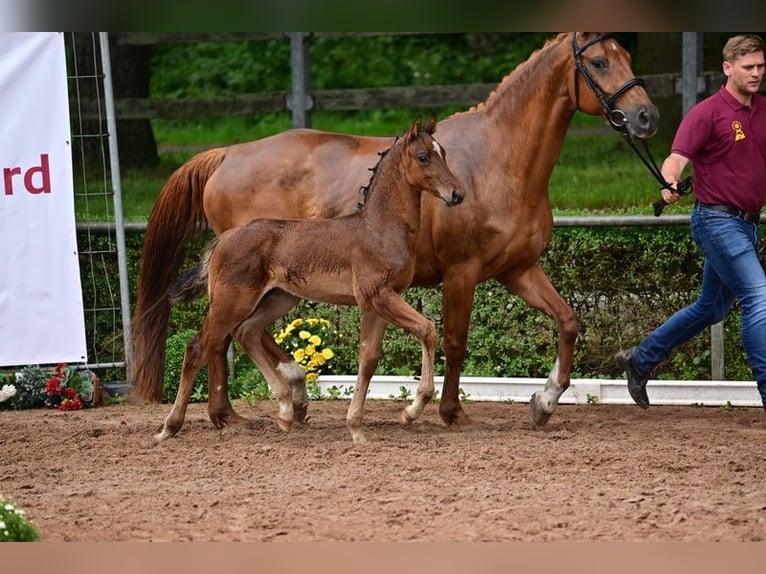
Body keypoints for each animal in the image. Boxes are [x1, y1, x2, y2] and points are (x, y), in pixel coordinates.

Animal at [154, 114, 464, 443]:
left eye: (443, 153)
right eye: (423, 156)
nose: (457, 194)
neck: (378, 228)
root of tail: (221, 240)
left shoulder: (378, 302)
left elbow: (368, 358)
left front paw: (357, 429)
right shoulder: (378, 296)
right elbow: (427, 330)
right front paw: (411, 410)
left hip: (278, 299)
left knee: (247, 332)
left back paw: (286, 410)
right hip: (230, 304)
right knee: (198, 348)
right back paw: (169, 427)